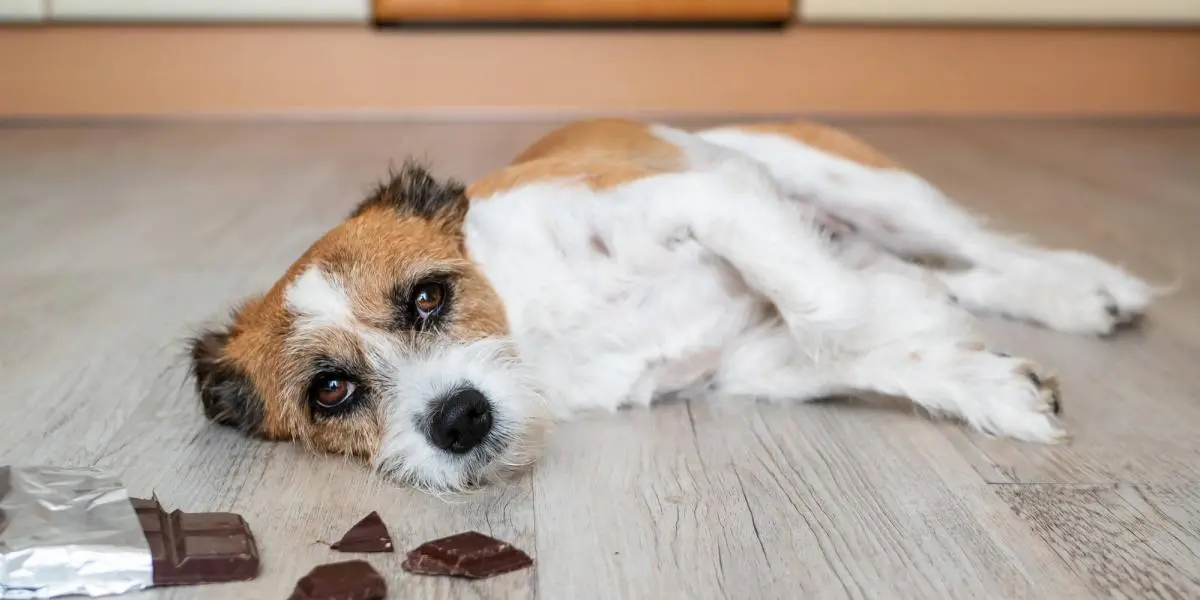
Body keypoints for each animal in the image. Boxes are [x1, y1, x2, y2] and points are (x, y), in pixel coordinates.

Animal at [192, 118, 1156, 492]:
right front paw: (985, 382)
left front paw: (902, 321)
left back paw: (1086, 288)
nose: (459, 419)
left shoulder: (708, 196)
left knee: (982, 250)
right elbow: (853, 345)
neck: (536, 323)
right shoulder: (748, 363)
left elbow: (828, 307)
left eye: (429, 297)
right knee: (959, 273)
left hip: (865, 187)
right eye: (332, 392)